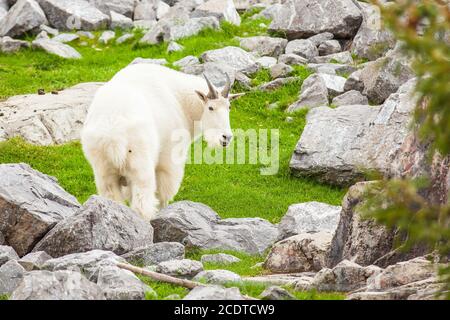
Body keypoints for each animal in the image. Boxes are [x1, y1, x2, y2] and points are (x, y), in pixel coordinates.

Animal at [81, 63, 243, 221]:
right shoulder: (169, 161)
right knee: (142, 203)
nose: (226, 137)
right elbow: (164, 194)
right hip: (141, 167)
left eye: (229, 107)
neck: (180, 100)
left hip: (104, 172)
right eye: (210, 107)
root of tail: (113, 134)